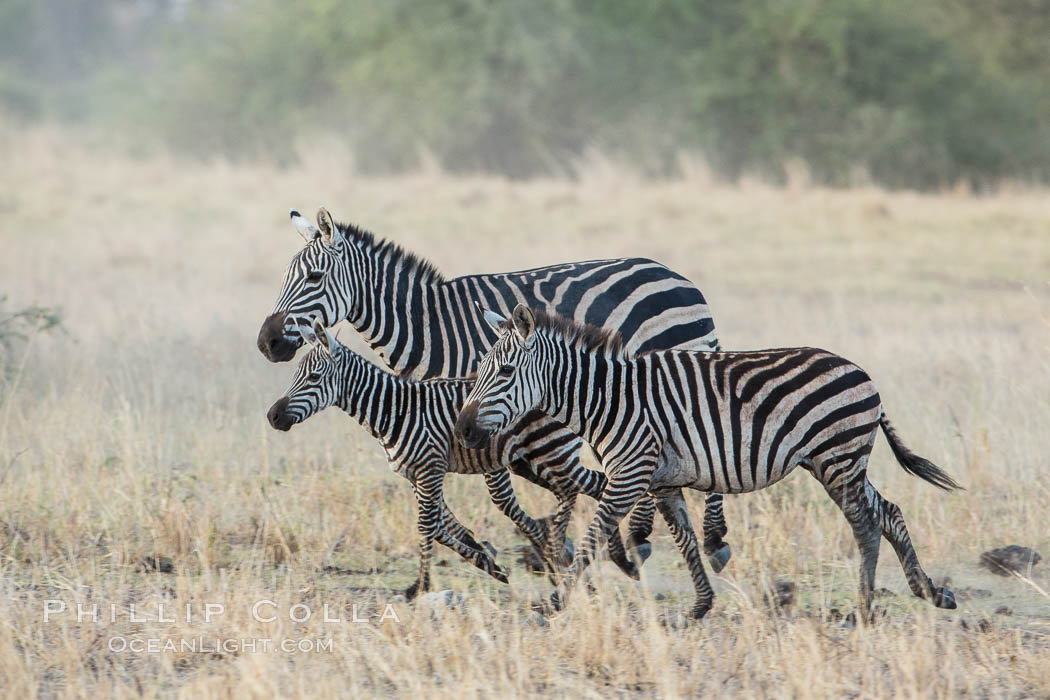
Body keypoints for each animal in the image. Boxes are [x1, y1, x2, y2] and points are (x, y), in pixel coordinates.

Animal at [262, 316, 638, 596]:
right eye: (296, 374)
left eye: (313, 377)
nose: (273, 417)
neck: (394, 410)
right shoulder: (415, 475)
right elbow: (443, 527)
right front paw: (488, 562)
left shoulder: (430, 468)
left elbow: (427, 525)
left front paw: (420, 585)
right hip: (530, 462)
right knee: (589, 487)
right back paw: (594, 557)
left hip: (550, 452)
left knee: (590, 486)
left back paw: (603, 557)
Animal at [451, 304, 961, 617]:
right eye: (480, 370)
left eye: (505, 372)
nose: (464, 430)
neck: (609, 399)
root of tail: (861, 371)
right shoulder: (661, 480)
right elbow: (686, 540)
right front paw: (700, 605)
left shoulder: (629, 475)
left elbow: (594, 537)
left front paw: (554, 603)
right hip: (836, 462)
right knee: (887, 512)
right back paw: (928, 592)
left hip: (838, 458)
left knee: (865, 522)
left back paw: (865, 607)